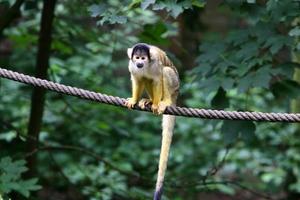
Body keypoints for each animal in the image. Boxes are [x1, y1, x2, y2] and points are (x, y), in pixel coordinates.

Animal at [125, 43, 179, 199]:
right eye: (137, 58)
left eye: (143, 58)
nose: (140, 63)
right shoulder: (131, 65)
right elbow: (138, 79)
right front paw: (134, 100)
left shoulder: (154, 64)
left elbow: (157, 79)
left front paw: (155, 104)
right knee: (145, 78)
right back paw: (148, 100)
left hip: (175, 86)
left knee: (165, 71)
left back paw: (163, 102)